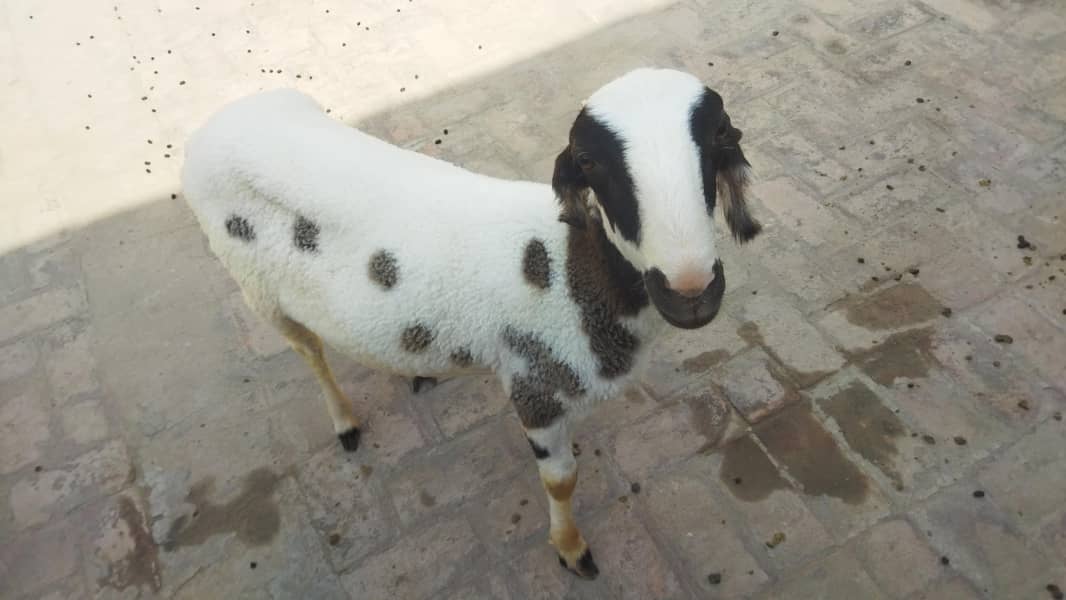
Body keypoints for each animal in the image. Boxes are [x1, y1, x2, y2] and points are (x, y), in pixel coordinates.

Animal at [180, 67, 761, 580]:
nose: (690, 292)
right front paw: (571, 548)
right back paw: (344, 421)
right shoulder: (534, 386)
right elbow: (562, 482)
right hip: (255, 285)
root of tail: (223, 120)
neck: (570, 272)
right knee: (308, 350)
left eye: (720, 136)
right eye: (588, 160)